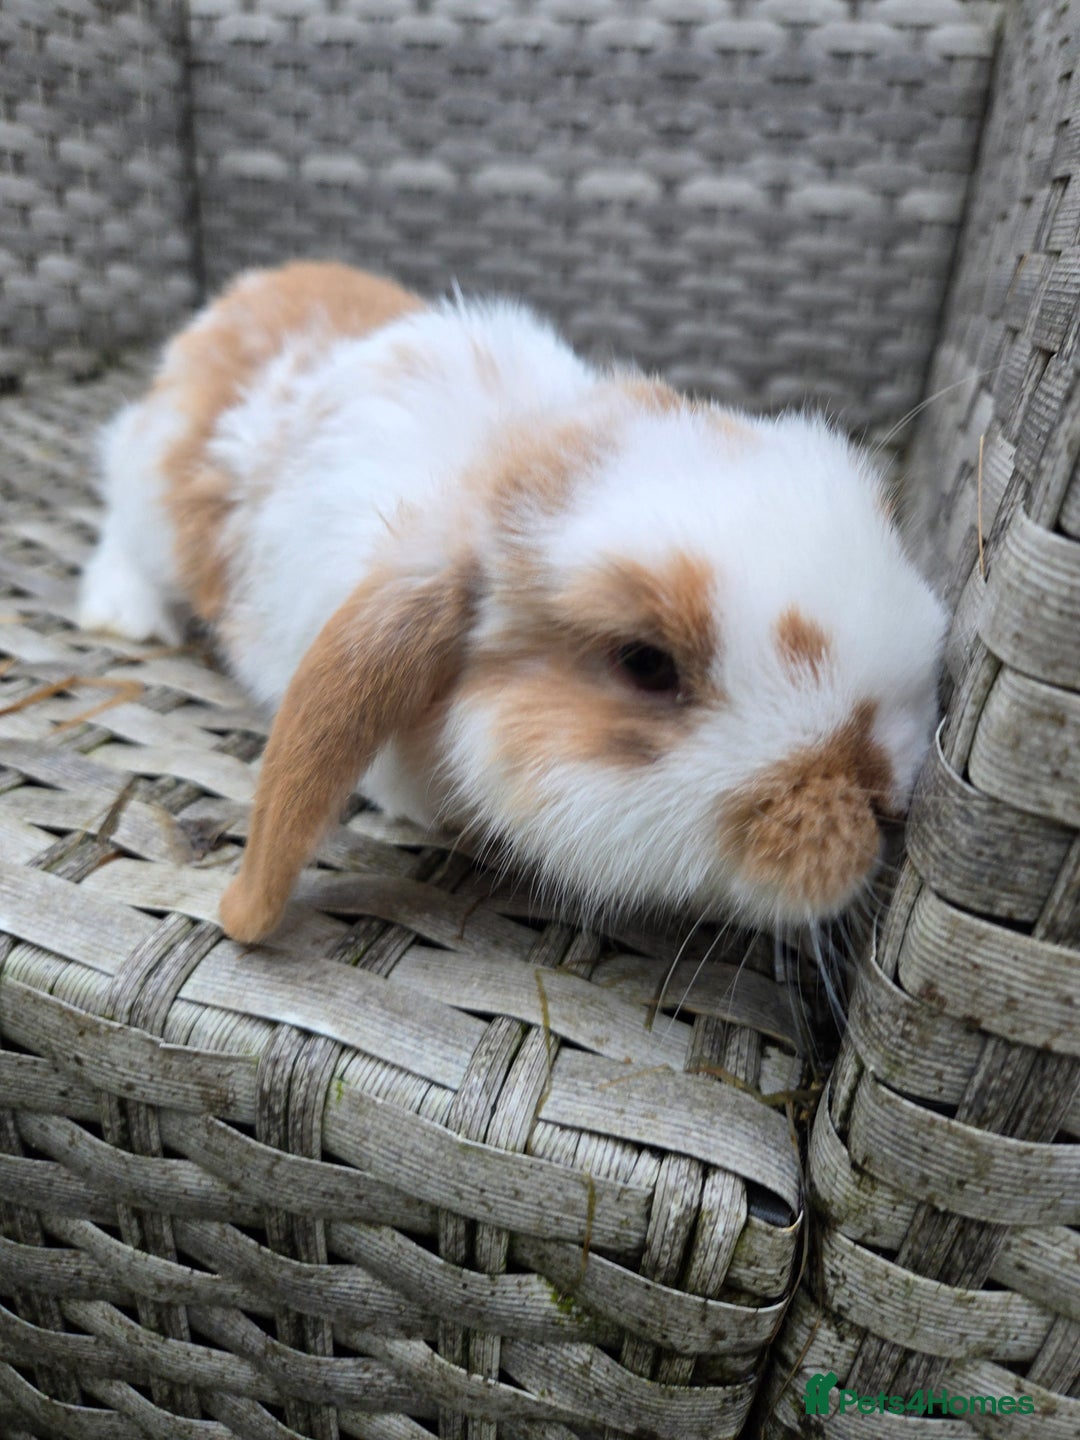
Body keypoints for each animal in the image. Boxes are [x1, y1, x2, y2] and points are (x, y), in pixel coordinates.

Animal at [78, 261, 947, 945]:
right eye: (645, 663)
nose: (888, 791)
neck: (503, 452)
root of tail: (235, 298)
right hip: (147, 493)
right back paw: (122, 615)